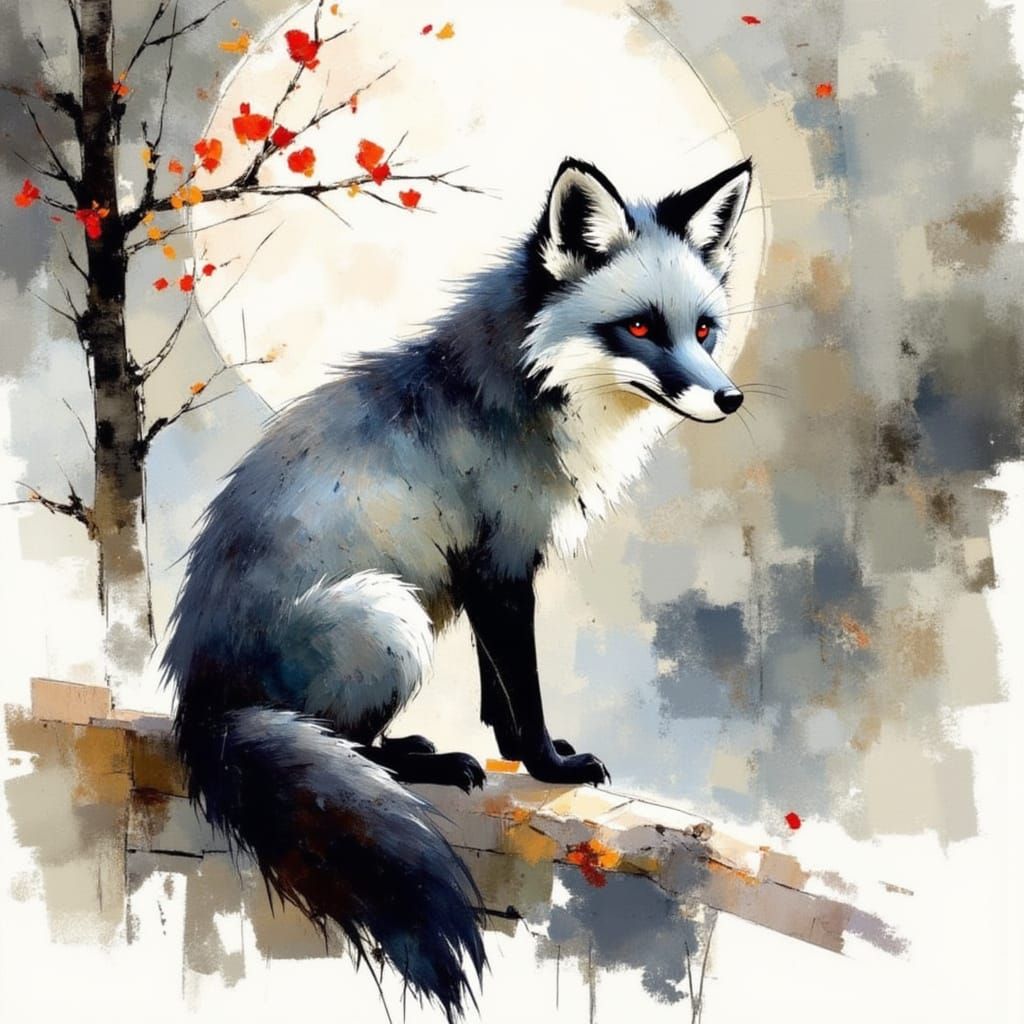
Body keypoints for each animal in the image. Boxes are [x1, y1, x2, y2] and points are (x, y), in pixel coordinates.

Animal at [163, 155, 753, 1020]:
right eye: (642, 329)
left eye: (704, 329)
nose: (728, 398)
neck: (529, 392)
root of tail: (201, 704)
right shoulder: (499, 564)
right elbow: (524, 688)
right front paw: (549, 765)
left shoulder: (490, 571)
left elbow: (497, 691)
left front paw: (519, 753)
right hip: (390, 615)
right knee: (347, 743)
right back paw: (422, 761)